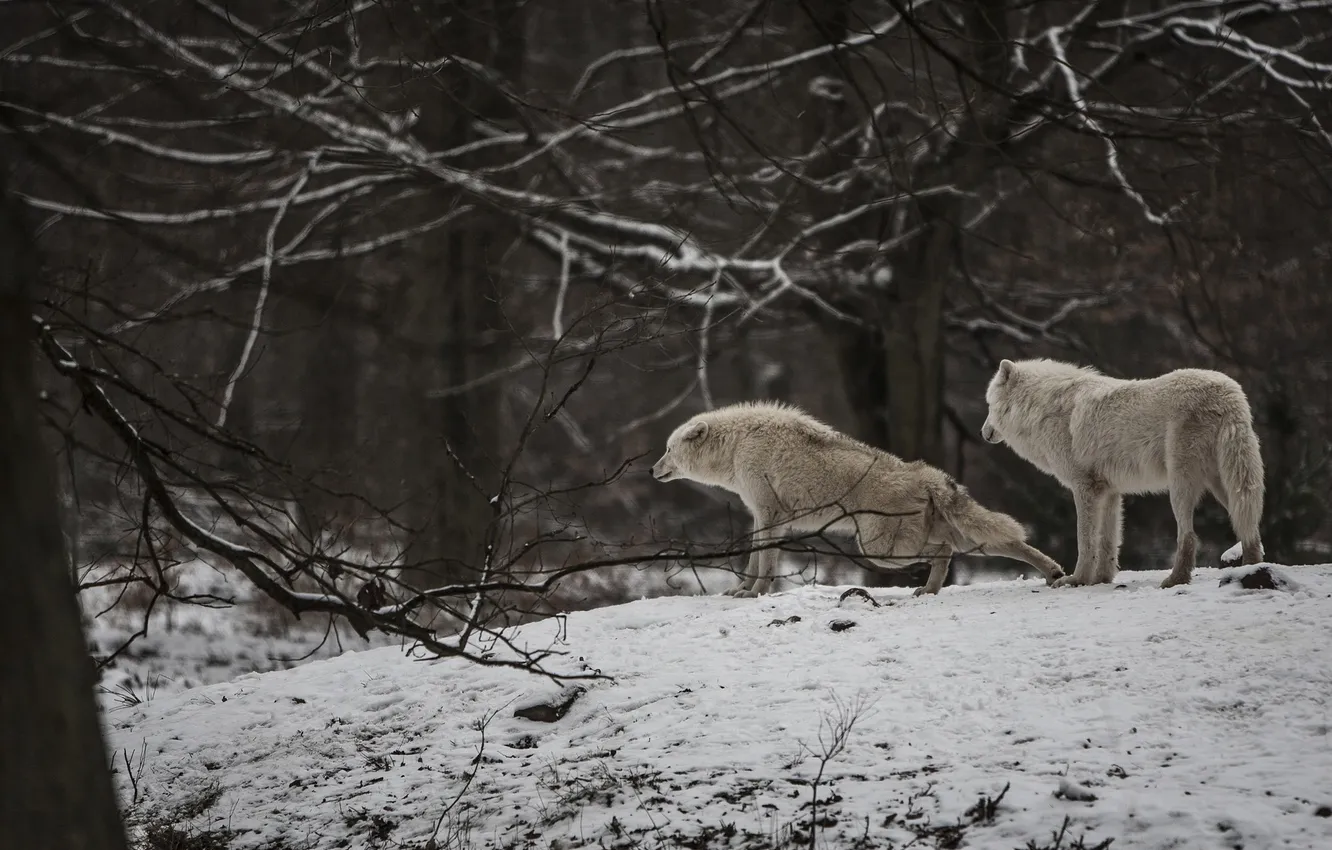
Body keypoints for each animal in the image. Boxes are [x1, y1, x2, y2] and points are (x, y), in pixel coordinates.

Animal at [651, 401, 1065, 598]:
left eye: (668, 449)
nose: (652, 470)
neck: (739, 445)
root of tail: (930, 475)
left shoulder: (768, 515)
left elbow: (763, 563)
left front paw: (754, 594)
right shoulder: (765, 519)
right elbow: (756, 559)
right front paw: (742, 590)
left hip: (879, 549)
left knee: (943, 551)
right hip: (955, 541)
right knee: (1009, 545)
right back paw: (1054, 574)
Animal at [981, 358, 1265, 589]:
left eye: (989, 405)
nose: (983, 433)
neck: (1043, 408)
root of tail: (1229, 393)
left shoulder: (1084, 488)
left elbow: (1085, 541)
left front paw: (1077, 579)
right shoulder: (1109, 492)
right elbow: (1108, 542)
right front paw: (1100, 579)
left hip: (1181, 485)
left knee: (1189, 535)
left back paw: (1176, 580)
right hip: (1226, 484)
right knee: (1249, 526)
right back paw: (1249, 570)